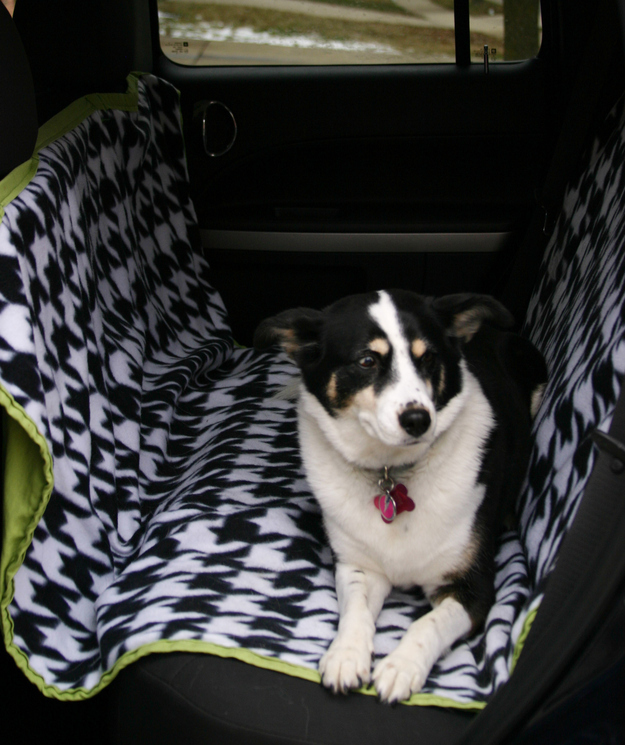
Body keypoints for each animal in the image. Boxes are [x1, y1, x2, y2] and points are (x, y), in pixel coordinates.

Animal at [254, 290, 544, 704]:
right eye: (367, 361)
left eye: (429, 358)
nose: (419, 420)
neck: (391, 474)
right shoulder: (358, 565)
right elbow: (356, 610)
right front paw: (345, 655)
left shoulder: (473, 587)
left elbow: (428, 625)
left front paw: (401, 666)